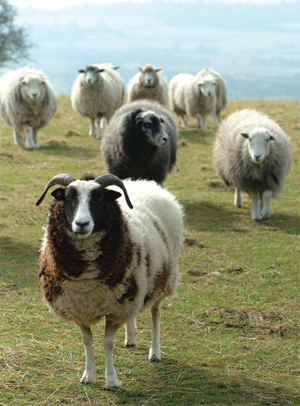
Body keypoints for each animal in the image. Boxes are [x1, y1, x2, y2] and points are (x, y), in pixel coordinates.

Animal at [36, 170, 184, 386]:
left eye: (99, 198)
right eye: (68, 197)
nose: (82, 224)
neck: (86, 283)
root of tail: (145, 183)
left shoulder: (115, 310)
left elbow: (107, 344)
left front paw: (112, 380)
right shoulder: (80, 306)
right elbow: (87, 341)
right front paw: (88, 376)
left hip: (162, 279)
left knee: (155, 314)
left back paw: (155, 353)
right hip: (132, 289)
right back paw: (130, 339)